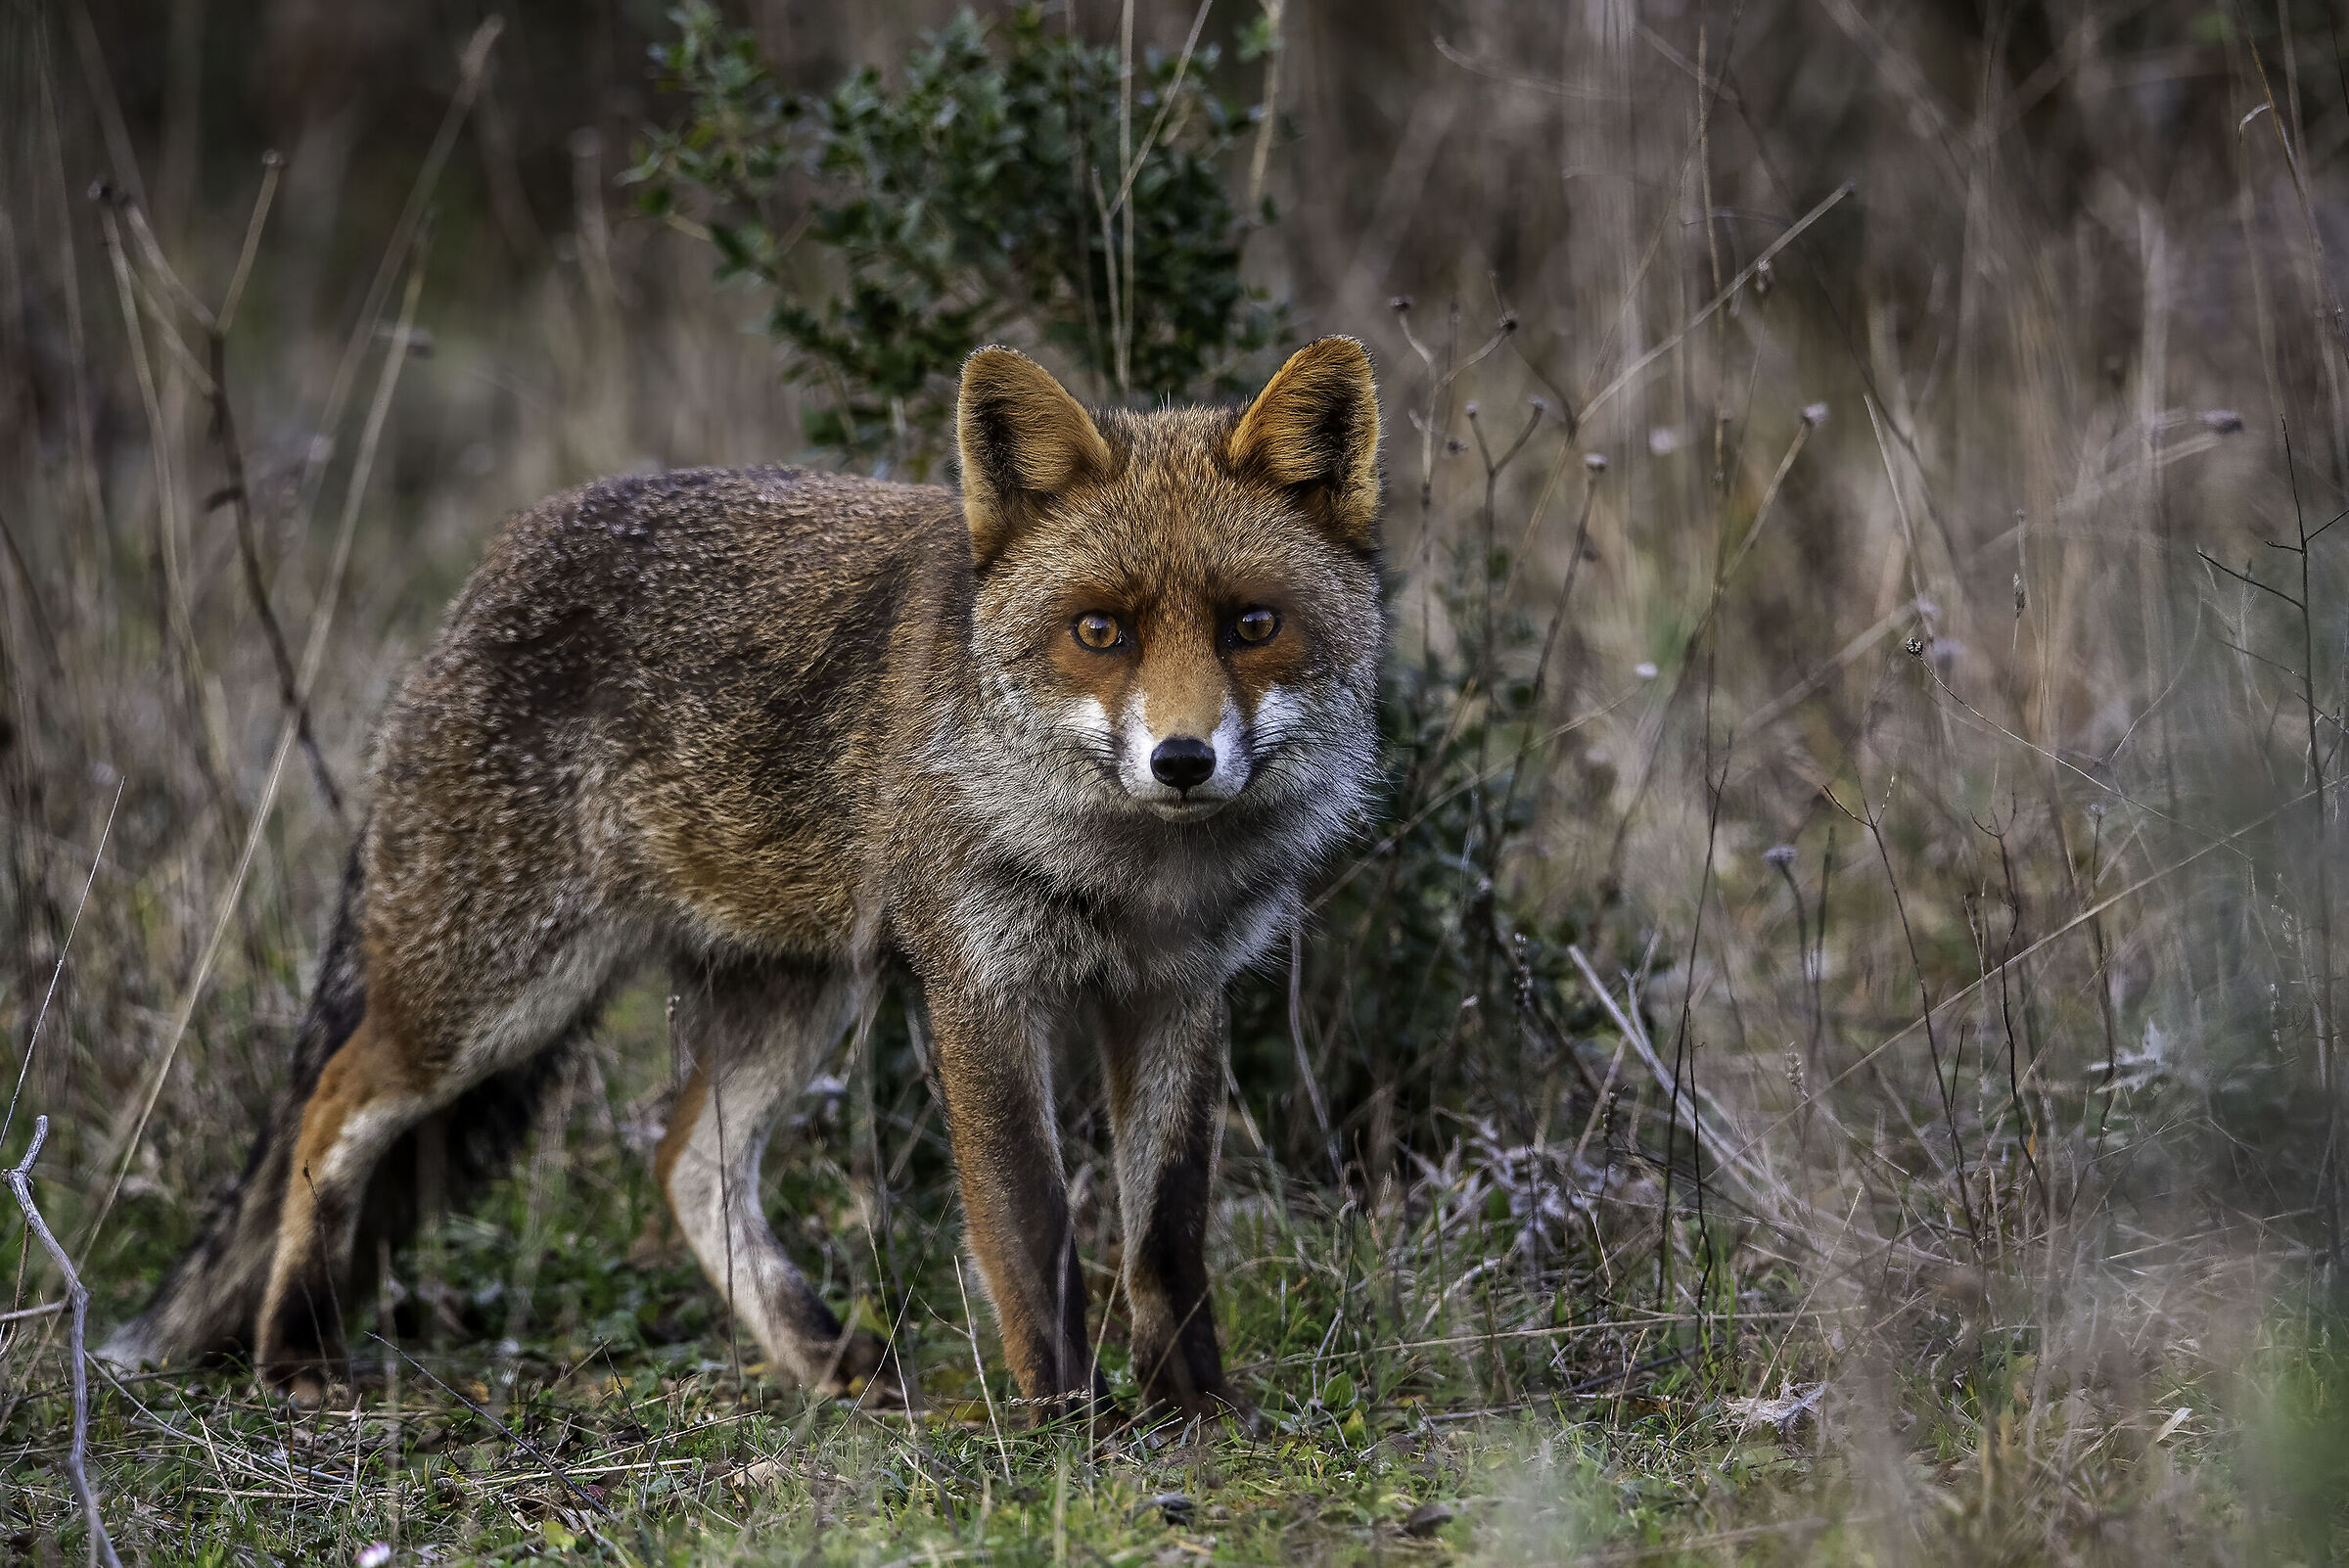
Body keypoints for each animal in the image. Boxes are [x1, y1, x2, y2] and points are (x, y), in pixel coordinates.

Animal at [101, 336, 1384, 1420]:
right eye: (1101, 632)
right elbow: (1029, 1231)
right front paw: (1069, 1426)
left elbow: (1165, 1232)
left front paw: (1196, 1412)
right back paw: (295, 1351)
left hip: (795, 994)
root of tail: (493, 567)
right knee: (332, 1109)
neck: (1130, 871)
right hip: (489, 1002)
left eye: (1252, 624)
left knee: (686, 1164)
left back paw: (822, 1356)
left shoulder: (1176, 992)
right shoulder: (980, 985)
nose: (1182, 759)